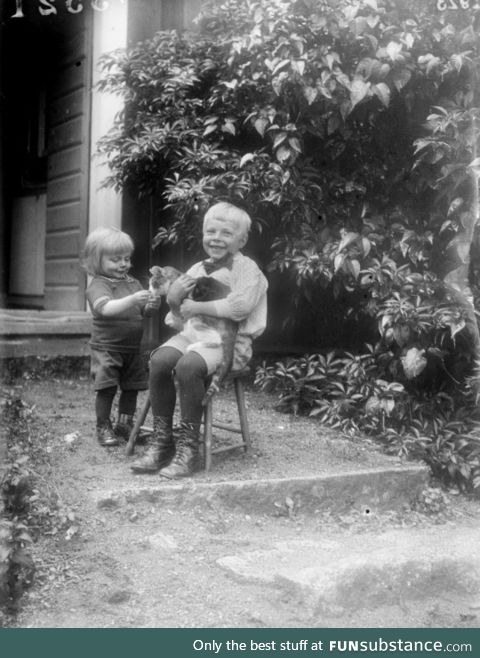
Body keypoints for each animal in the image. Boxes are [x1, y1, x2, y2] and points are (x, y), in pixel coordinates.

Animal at [146, 266, 236, 400]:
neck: (174, 279)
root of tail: (233, 325)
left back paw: (192, 345)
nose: (148, 291)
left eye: (152, 283)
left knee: (216, 339)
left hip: (197, 316)